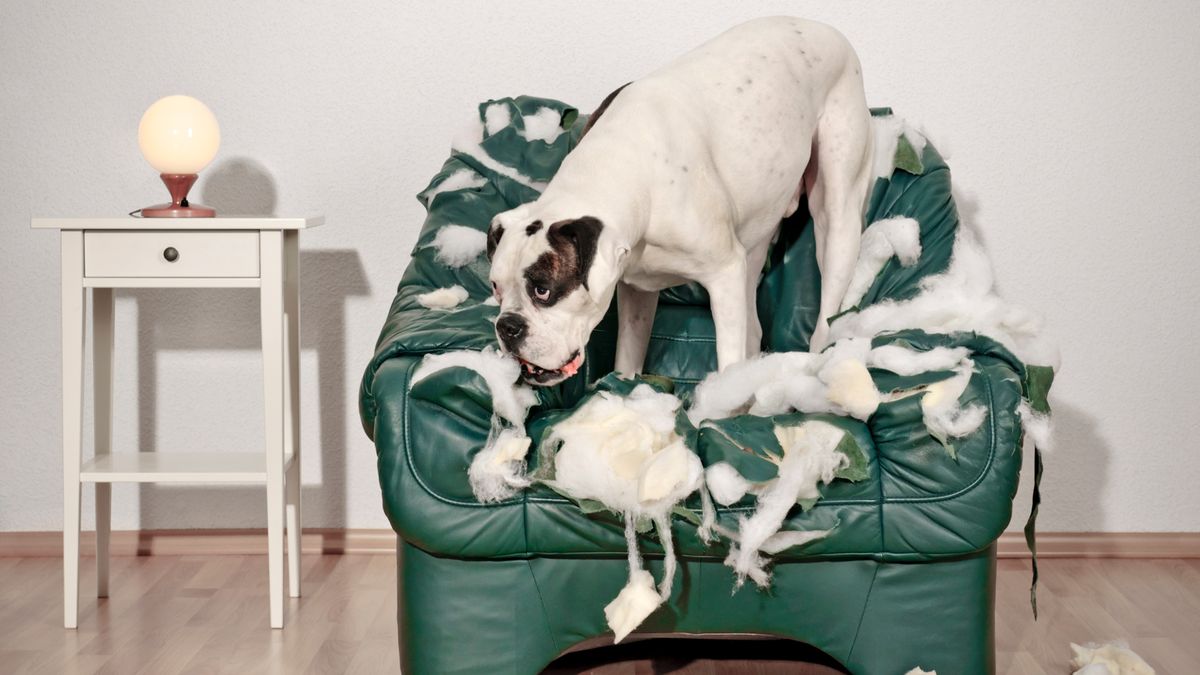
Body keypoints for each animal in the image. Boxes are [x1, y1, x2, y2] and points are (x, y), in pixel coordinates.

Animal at [487, 15, 873, 384]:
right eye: (495, 287)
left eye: (543, 290)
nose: (507, 327)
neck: (621, 167)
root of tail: (825, 29)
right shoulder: (636, 291)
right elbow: (627, 361)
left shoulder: (724, 274)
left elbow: (727, 362)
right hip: (754, 246)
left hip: (836, 223)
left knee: (824, 315)